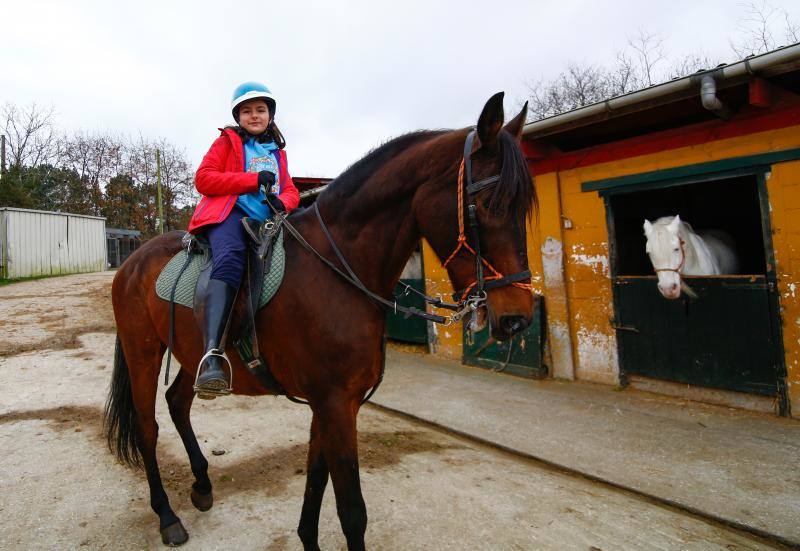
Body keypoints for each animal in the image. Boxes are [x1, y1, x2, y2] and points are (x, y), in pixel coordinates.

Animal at [101, 92, 536, 548]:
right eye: (488, 204)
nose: (517, 319)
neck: (338, 268)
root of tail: (132, 260)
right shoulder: (335, 404)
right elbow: (352, 512)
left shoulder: (333, 405)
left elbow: (315, 480)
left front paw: (307, 537)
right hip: (143, 352)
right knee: (147, 427)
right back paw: (167, 516)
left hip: (193, 353)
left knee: (178, 403)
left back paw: (202, 485)